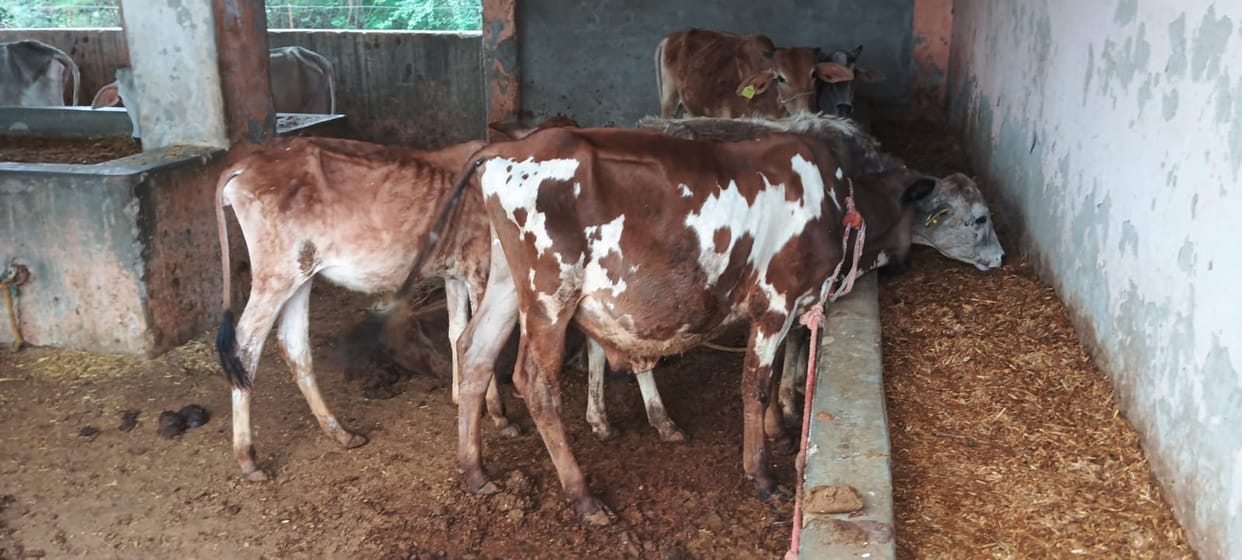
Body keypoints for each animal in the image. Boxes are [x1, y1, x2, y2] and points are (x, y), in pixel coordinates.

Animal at [421, 126, 937, 524]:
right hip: (549, 291)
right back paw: (583, 497)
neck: (835, 203)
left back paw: (475, 471)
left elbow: (773, 374)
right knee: (534, 381)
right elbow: (756, 384)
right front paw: (762, 475)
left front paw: (778, 432)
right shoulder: (776, 299)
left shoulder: (783, 309)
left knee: (475, 351)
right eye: (915, 215)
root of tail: (508, 148)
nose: (907, 263)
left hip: (508, 282)